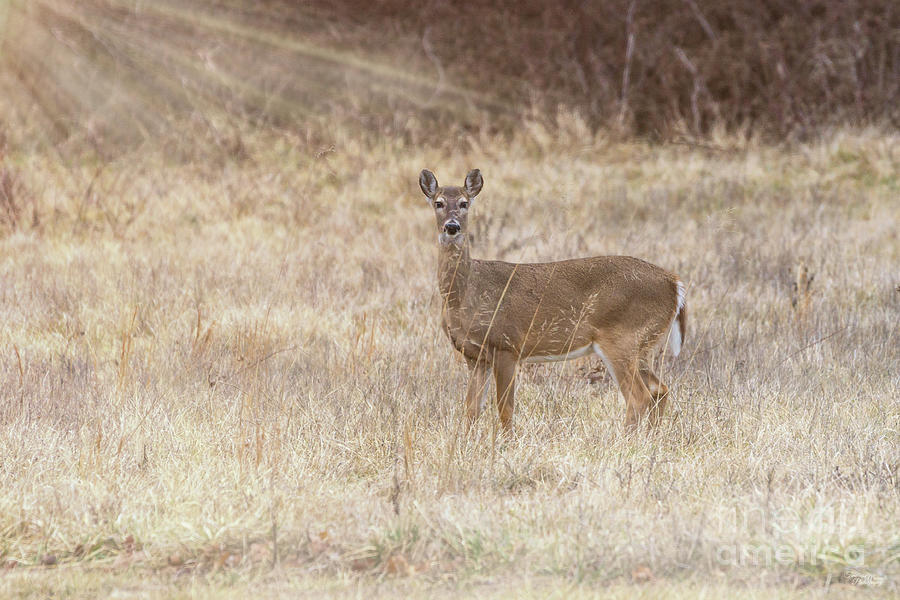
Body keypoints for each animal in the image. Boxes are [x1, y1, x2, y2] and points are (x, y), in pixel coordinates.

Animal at [418, 166, 684, 434]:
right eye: (439, 203)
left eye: (464, 203)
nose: (452, 226)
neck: (465, 296)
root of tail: (674, 283)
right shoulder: (473, 356)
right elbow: (471, 409)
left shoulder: (506, 345)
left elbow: (505, 409)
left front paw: (506, 442)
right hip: (643, 345)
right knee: (660, 390)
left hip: (623, 338)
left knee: (639, 397)